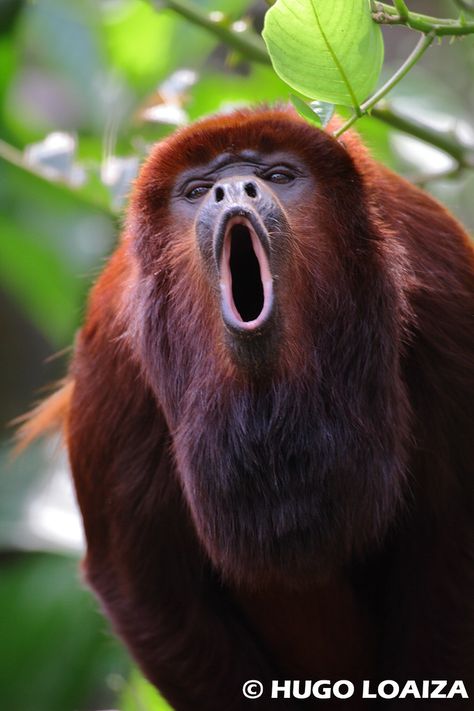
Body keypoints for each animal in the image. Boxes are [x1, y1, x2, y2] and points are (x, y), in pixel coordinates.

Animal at [22, 108, 474, 708]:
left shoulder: (449, 299)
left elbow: (453, 537)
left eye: (278, 175)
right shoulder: (113, 357)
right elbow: (141, 582)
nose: (233, 188)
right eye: (196, 190)